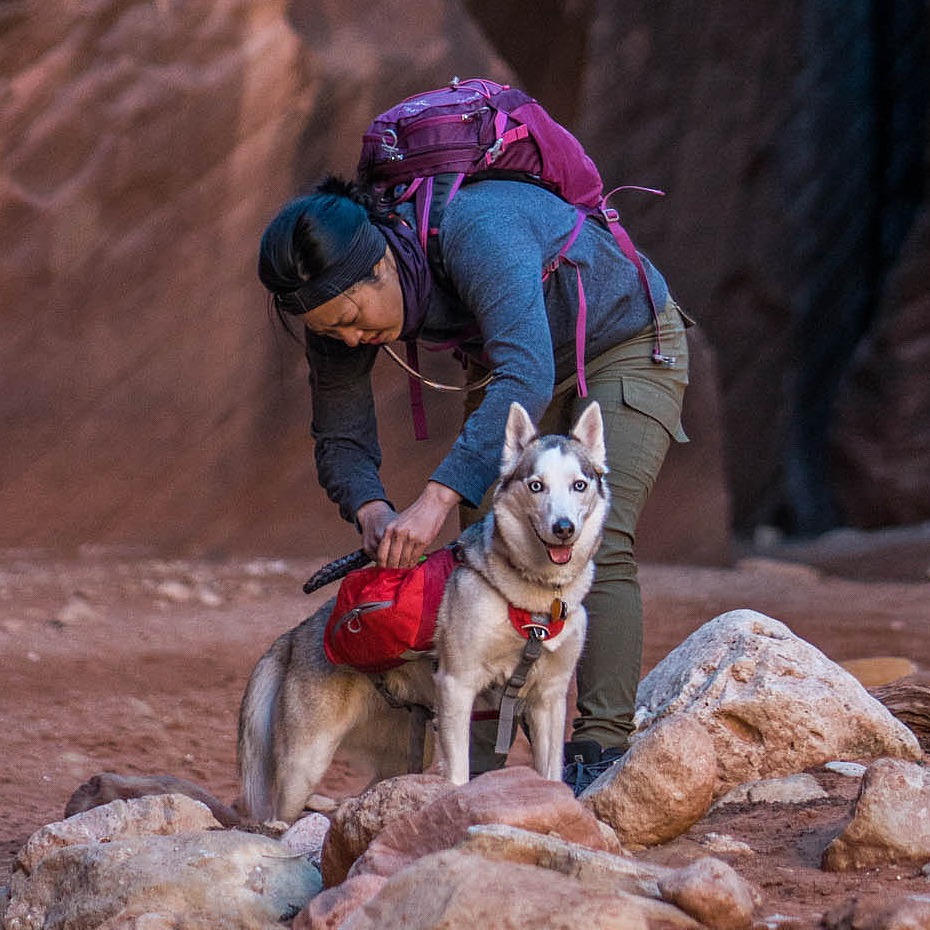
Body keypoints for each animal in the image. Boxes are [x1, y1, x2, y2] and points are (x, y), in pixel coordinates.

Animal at [236, 400, 604, 820]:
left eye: (579, 485)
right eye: (536, 485)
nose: (564, 528)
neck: (536, 600)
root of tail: (296, 633)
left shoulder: (549, 699)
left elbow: (551, 772)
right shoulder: (458, 684)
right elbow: (458, 773)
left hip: (405, 751)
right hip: (304, 764)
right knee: (280, 815)